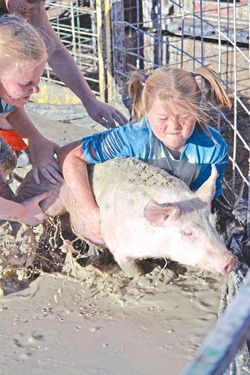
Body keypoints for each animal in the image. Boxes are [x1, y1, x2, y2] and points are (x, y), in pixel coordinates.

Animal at [15, 157, 236, 278]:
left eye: (214, 223)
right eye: (188, 232)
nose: (231, 260)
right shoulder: (119, 245)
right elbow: (131, 268)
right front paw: (146, 276)